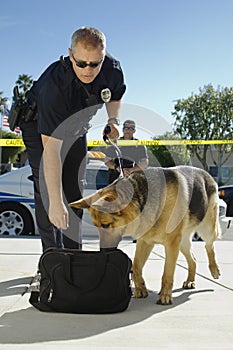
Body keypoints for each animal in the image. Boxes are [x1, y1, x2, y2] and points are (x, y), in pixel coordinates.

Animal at [69, 165, 220, 304]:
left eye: (106, 225)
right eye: (97, 227)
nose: (103, 252)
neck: (143, 202)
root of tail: (206, 173)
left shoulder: (171, 245)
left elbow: (167, 273)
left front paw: (165, 296)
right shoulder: (145, 242)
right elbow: (136, 266)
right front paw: (140, 288)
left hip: (206, 229)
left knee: (209, 245)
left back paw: (214, 269)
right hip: (182, 243)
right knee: (193, 259)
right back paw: (190, 281)